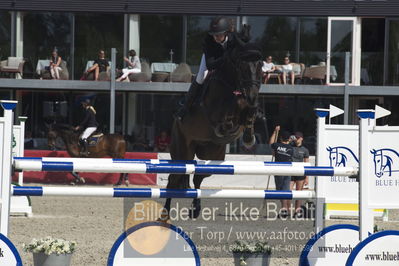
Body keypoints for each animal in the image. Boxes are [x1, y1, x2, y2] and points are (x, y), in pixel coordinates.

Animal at [164, 43, 264, 218]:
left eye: (260, 67)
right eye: (242, 67)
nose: (252, 95)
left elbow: (250, 111)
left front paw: (248, 138)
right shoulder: (216, 111)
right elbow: (228, 115)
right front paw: (226, 127)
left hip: (212, 155)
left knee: (198, 177)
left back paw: (195, 209)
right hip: (182, 152)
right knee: (173, 180)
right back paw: (165, 213)